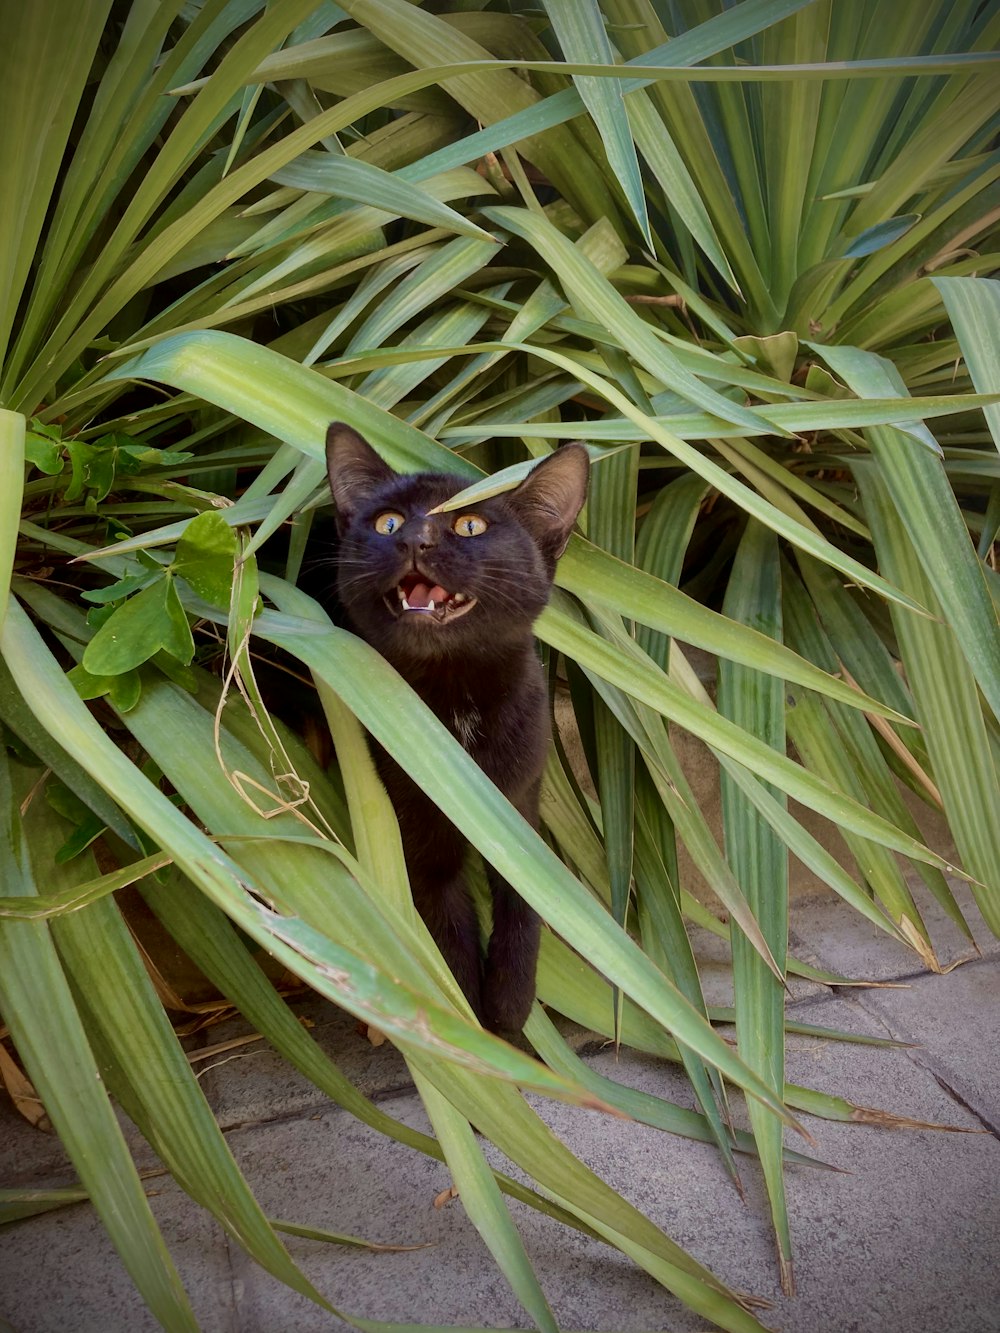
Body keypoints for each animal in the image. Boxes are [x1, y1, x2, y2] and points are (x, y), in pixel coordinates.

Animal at [325, 423, 592, 1029]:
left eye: (471, 525)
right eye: (388, 522)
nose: (414, 539)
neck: (454, 702)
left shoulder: (518, 802)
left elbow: (525, 907)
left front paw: (510, 1007)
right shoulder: (418, 834)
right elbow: (447, 933)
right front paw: (475, 1025)